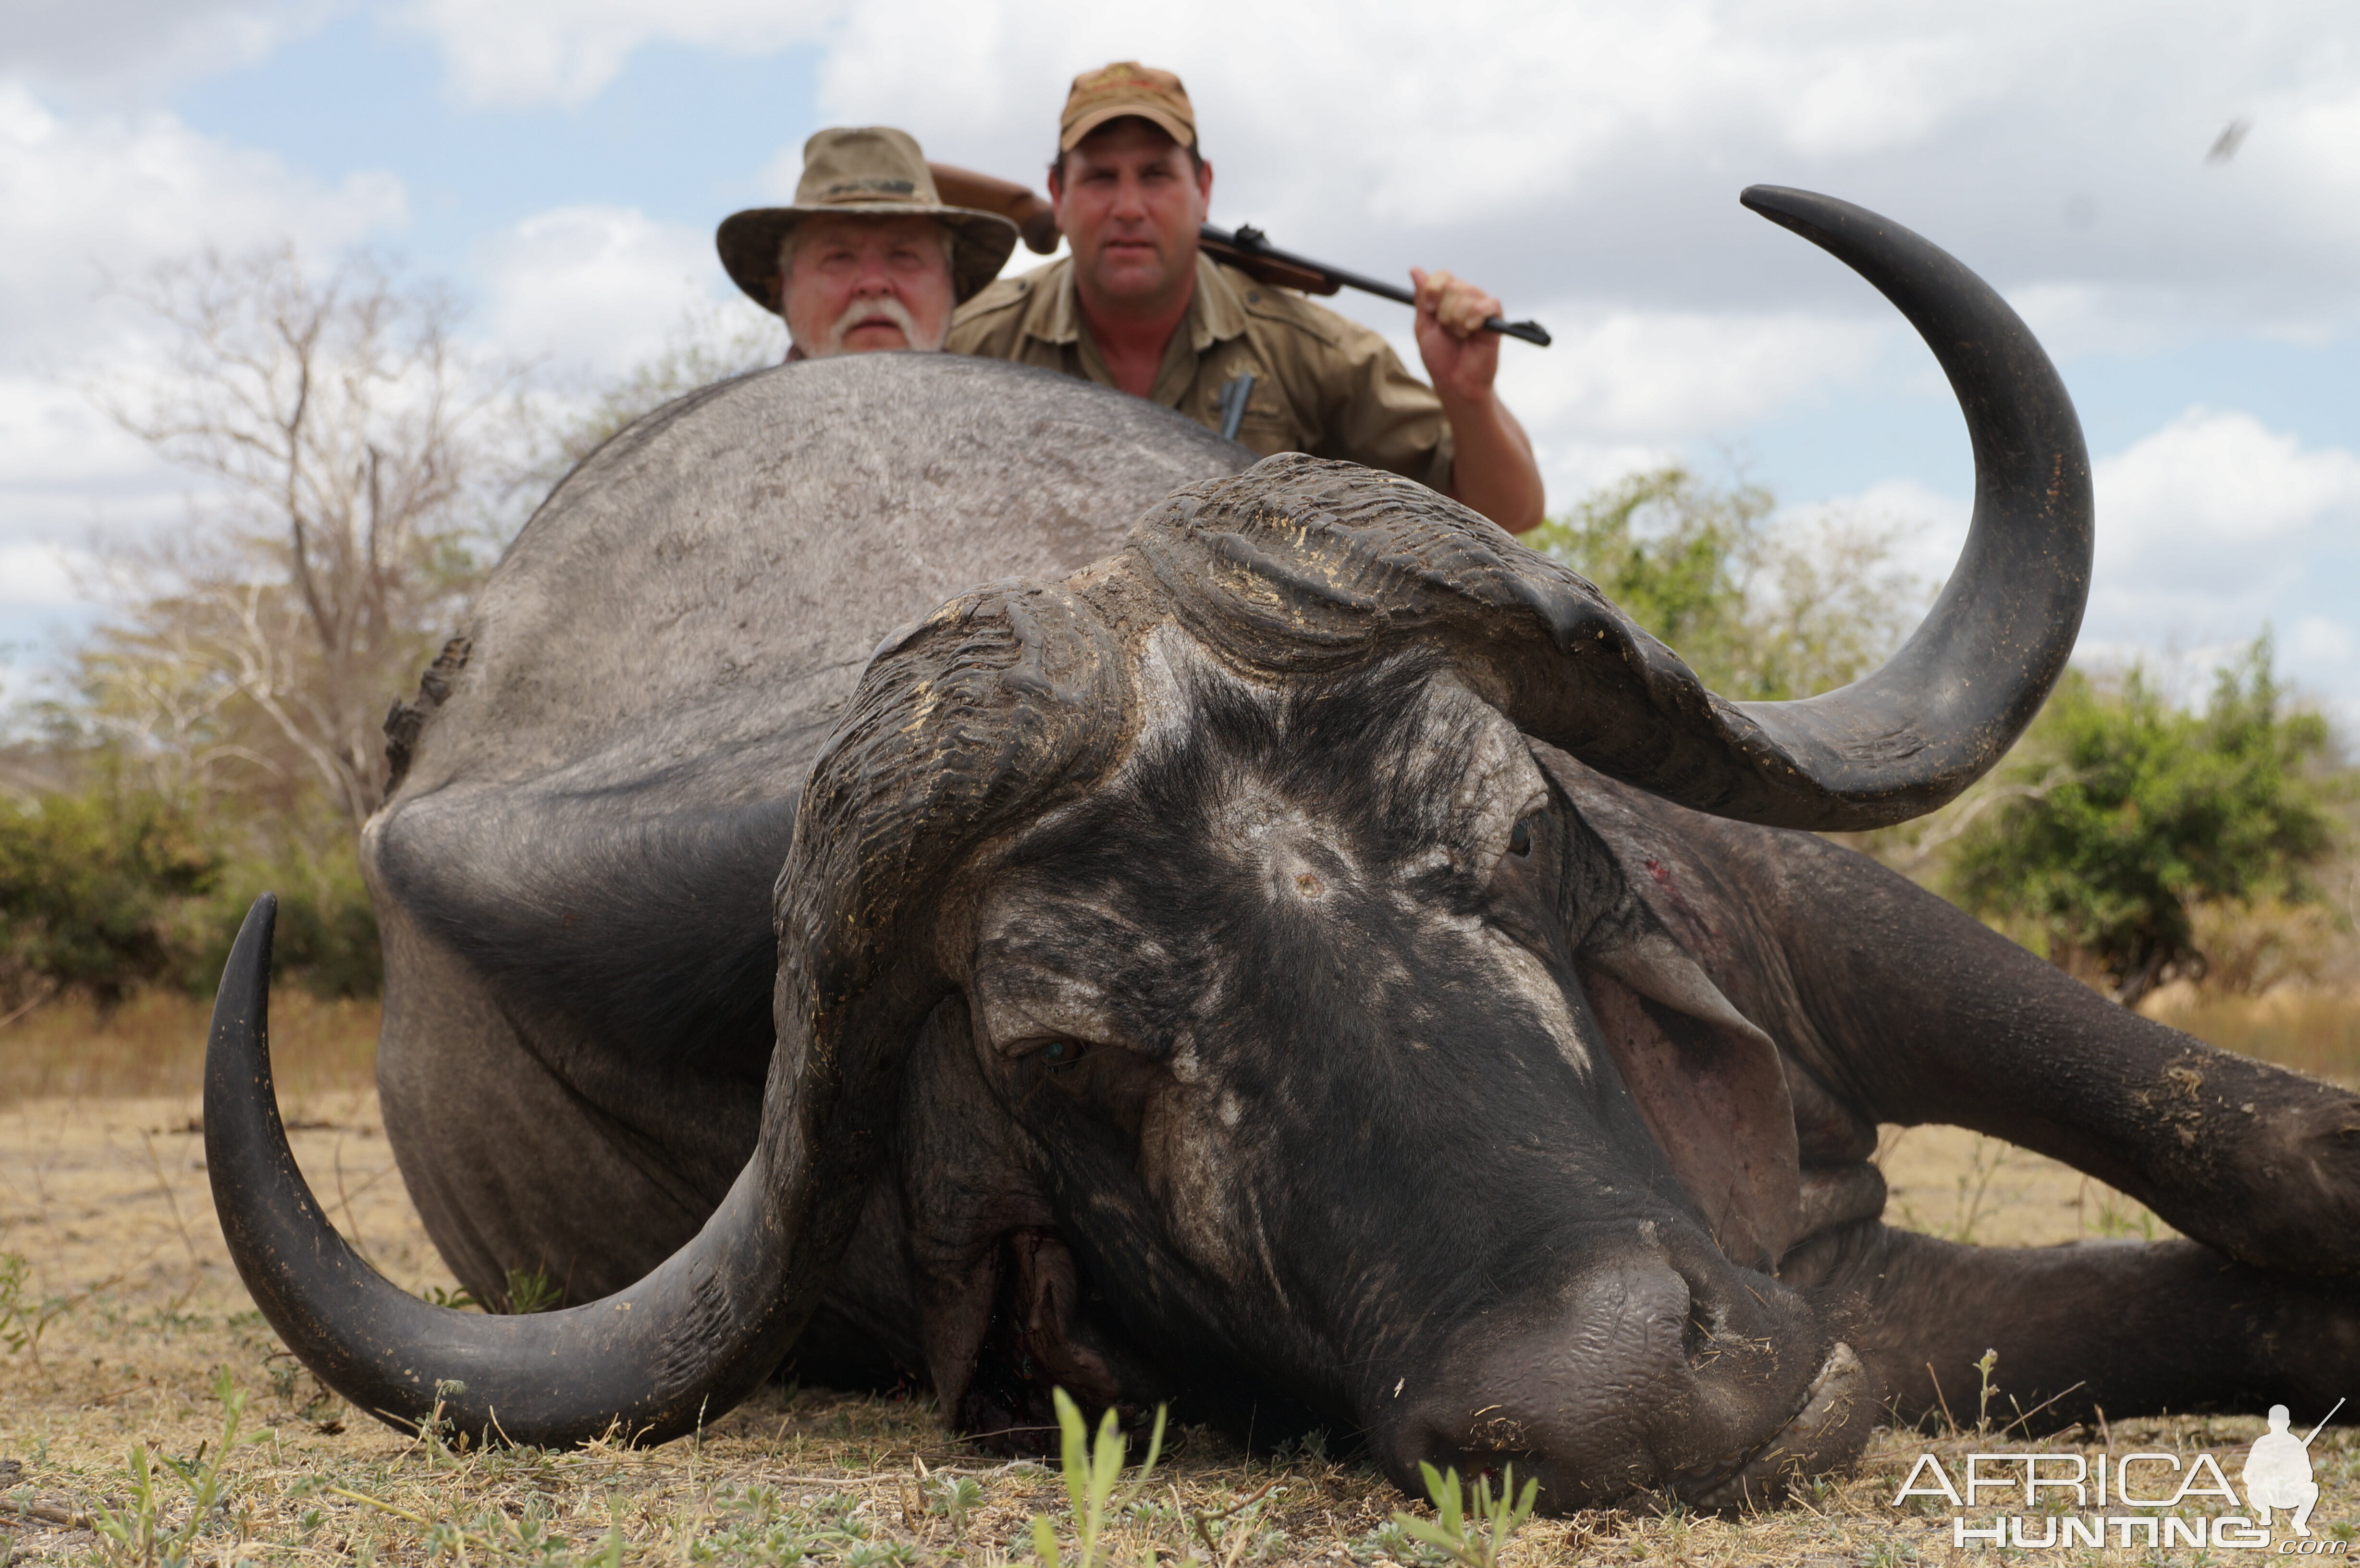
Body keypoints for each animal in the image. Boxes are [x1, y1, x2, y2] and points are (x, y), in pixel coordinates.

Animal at [203, 190, 2360, 1511]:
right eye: (1067, 1057)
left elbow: (2252, 1138)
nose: (1630, 1387)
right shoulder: (1861, 1305)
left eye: (1520, 833)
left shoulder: (1800, 918)